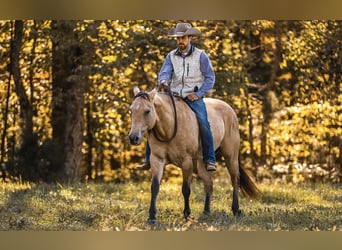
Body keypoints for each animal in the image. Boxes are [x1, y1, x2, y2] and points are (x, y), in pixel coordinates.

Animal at [127, 86, 260, 225]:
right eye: (131, 111)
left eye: (147, 111)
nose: (133, 138)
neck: (169, 128)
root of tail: (229, 110)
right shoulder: (157, 160)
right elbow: (154, 187)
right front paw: (151, 218)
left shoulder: (186, 161)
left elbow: (186, 189)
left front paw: (187, 214)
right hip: (201, 164)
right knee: (209, 184)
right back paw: (206, 212)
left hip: (230, 156)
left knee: (235, 180)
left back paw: (236, 210)